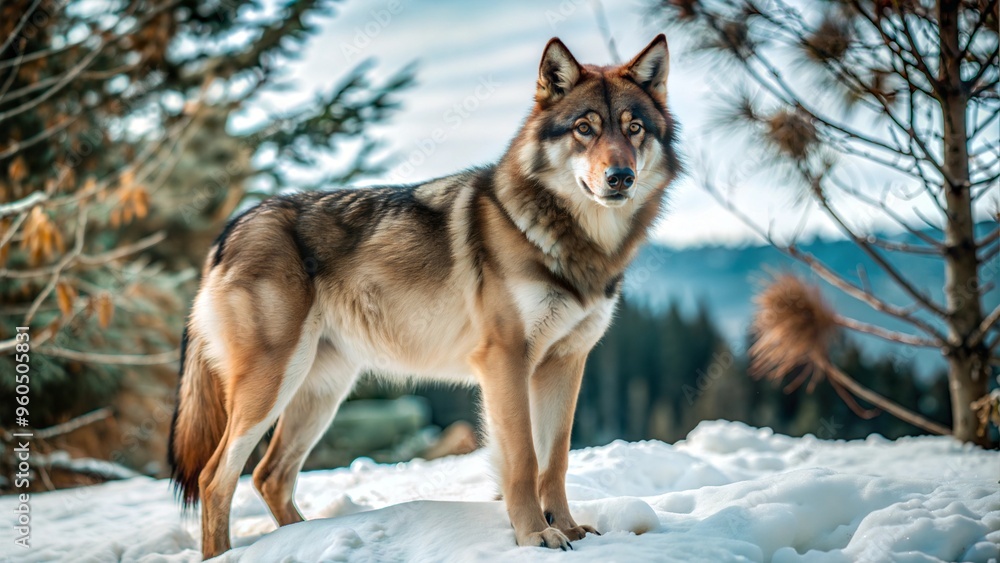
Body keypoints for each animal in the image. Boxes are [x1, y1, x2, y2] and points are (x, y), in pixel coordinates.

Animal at [170, 35, 679, 557]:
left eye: (634, 128)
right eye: (584, 128)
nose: (620, 177)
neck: (575, 244)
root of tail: (232, 227)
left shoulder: (566, 362)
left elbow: (554, 459)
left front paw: (570, 528)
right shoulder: (505, 360)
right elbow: (522, 460)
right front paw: (535, 535)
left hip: (321, 391)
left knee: (269, 476)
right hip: (273, 385)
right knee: (216, 477)